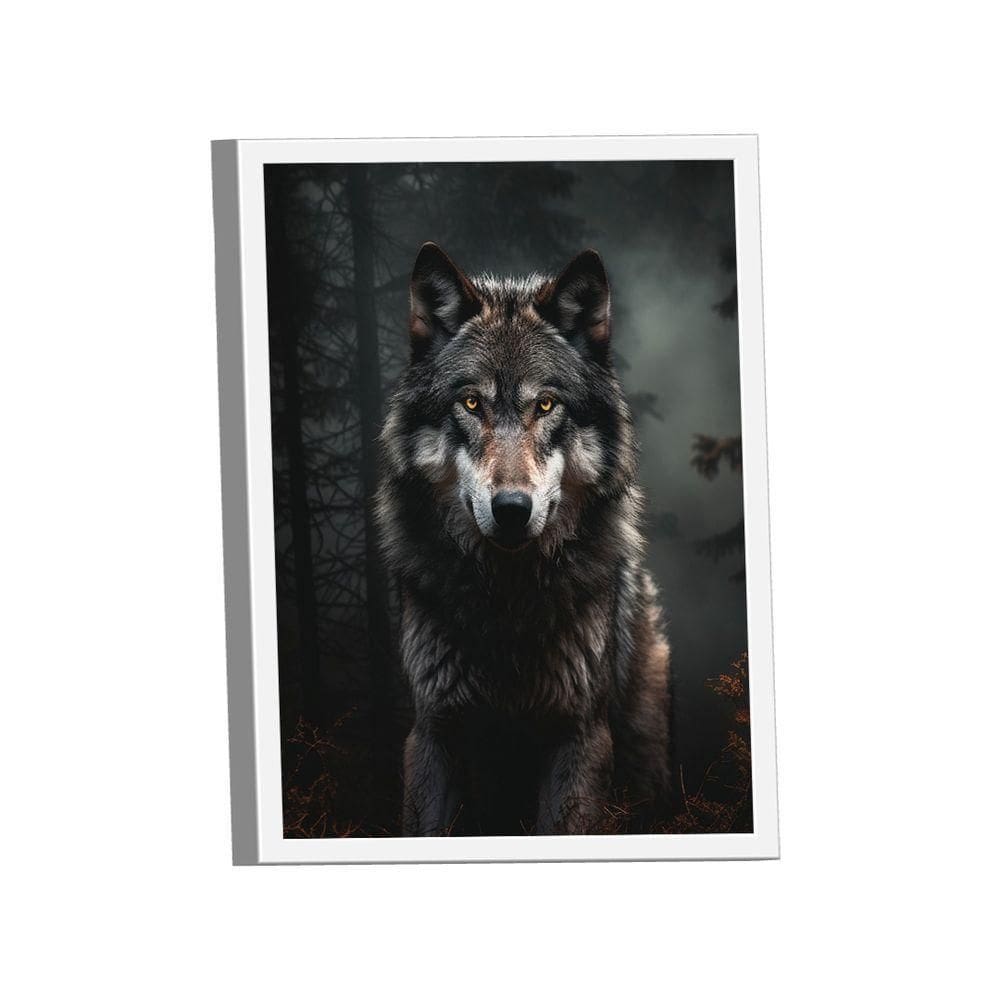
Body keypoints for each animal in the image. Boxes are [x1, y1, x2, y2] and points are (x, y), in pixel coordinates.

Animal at [376, 243, 671, 836]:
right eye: (471, 404)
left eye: (546, 405)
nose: (512, 509)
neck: (507, 603)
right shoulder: (432, 732)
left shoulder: (579, 736)